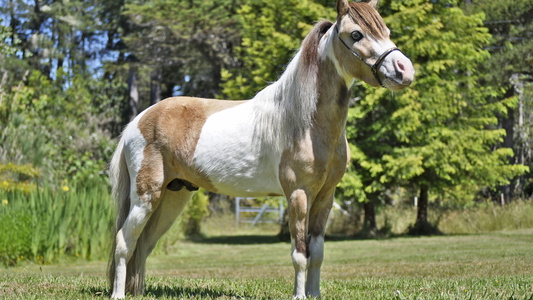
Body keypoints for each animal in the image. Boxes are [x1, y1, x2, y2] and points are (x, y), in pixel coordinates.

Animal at [109, 0, 416, 298]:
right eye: (356, 34)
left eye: (386, 31)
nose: (405, 70)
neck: (304, 122)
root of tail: (139, 120)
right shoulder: (298, 195)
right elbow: (300, 254)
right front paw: (300, 296)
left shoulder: (325, 198)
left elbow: (317, 253)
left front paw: (314, 294)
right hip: (146, 197)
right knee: (124, 242)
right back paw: (118, 294)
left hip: (173, 197)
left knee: (144, 245)